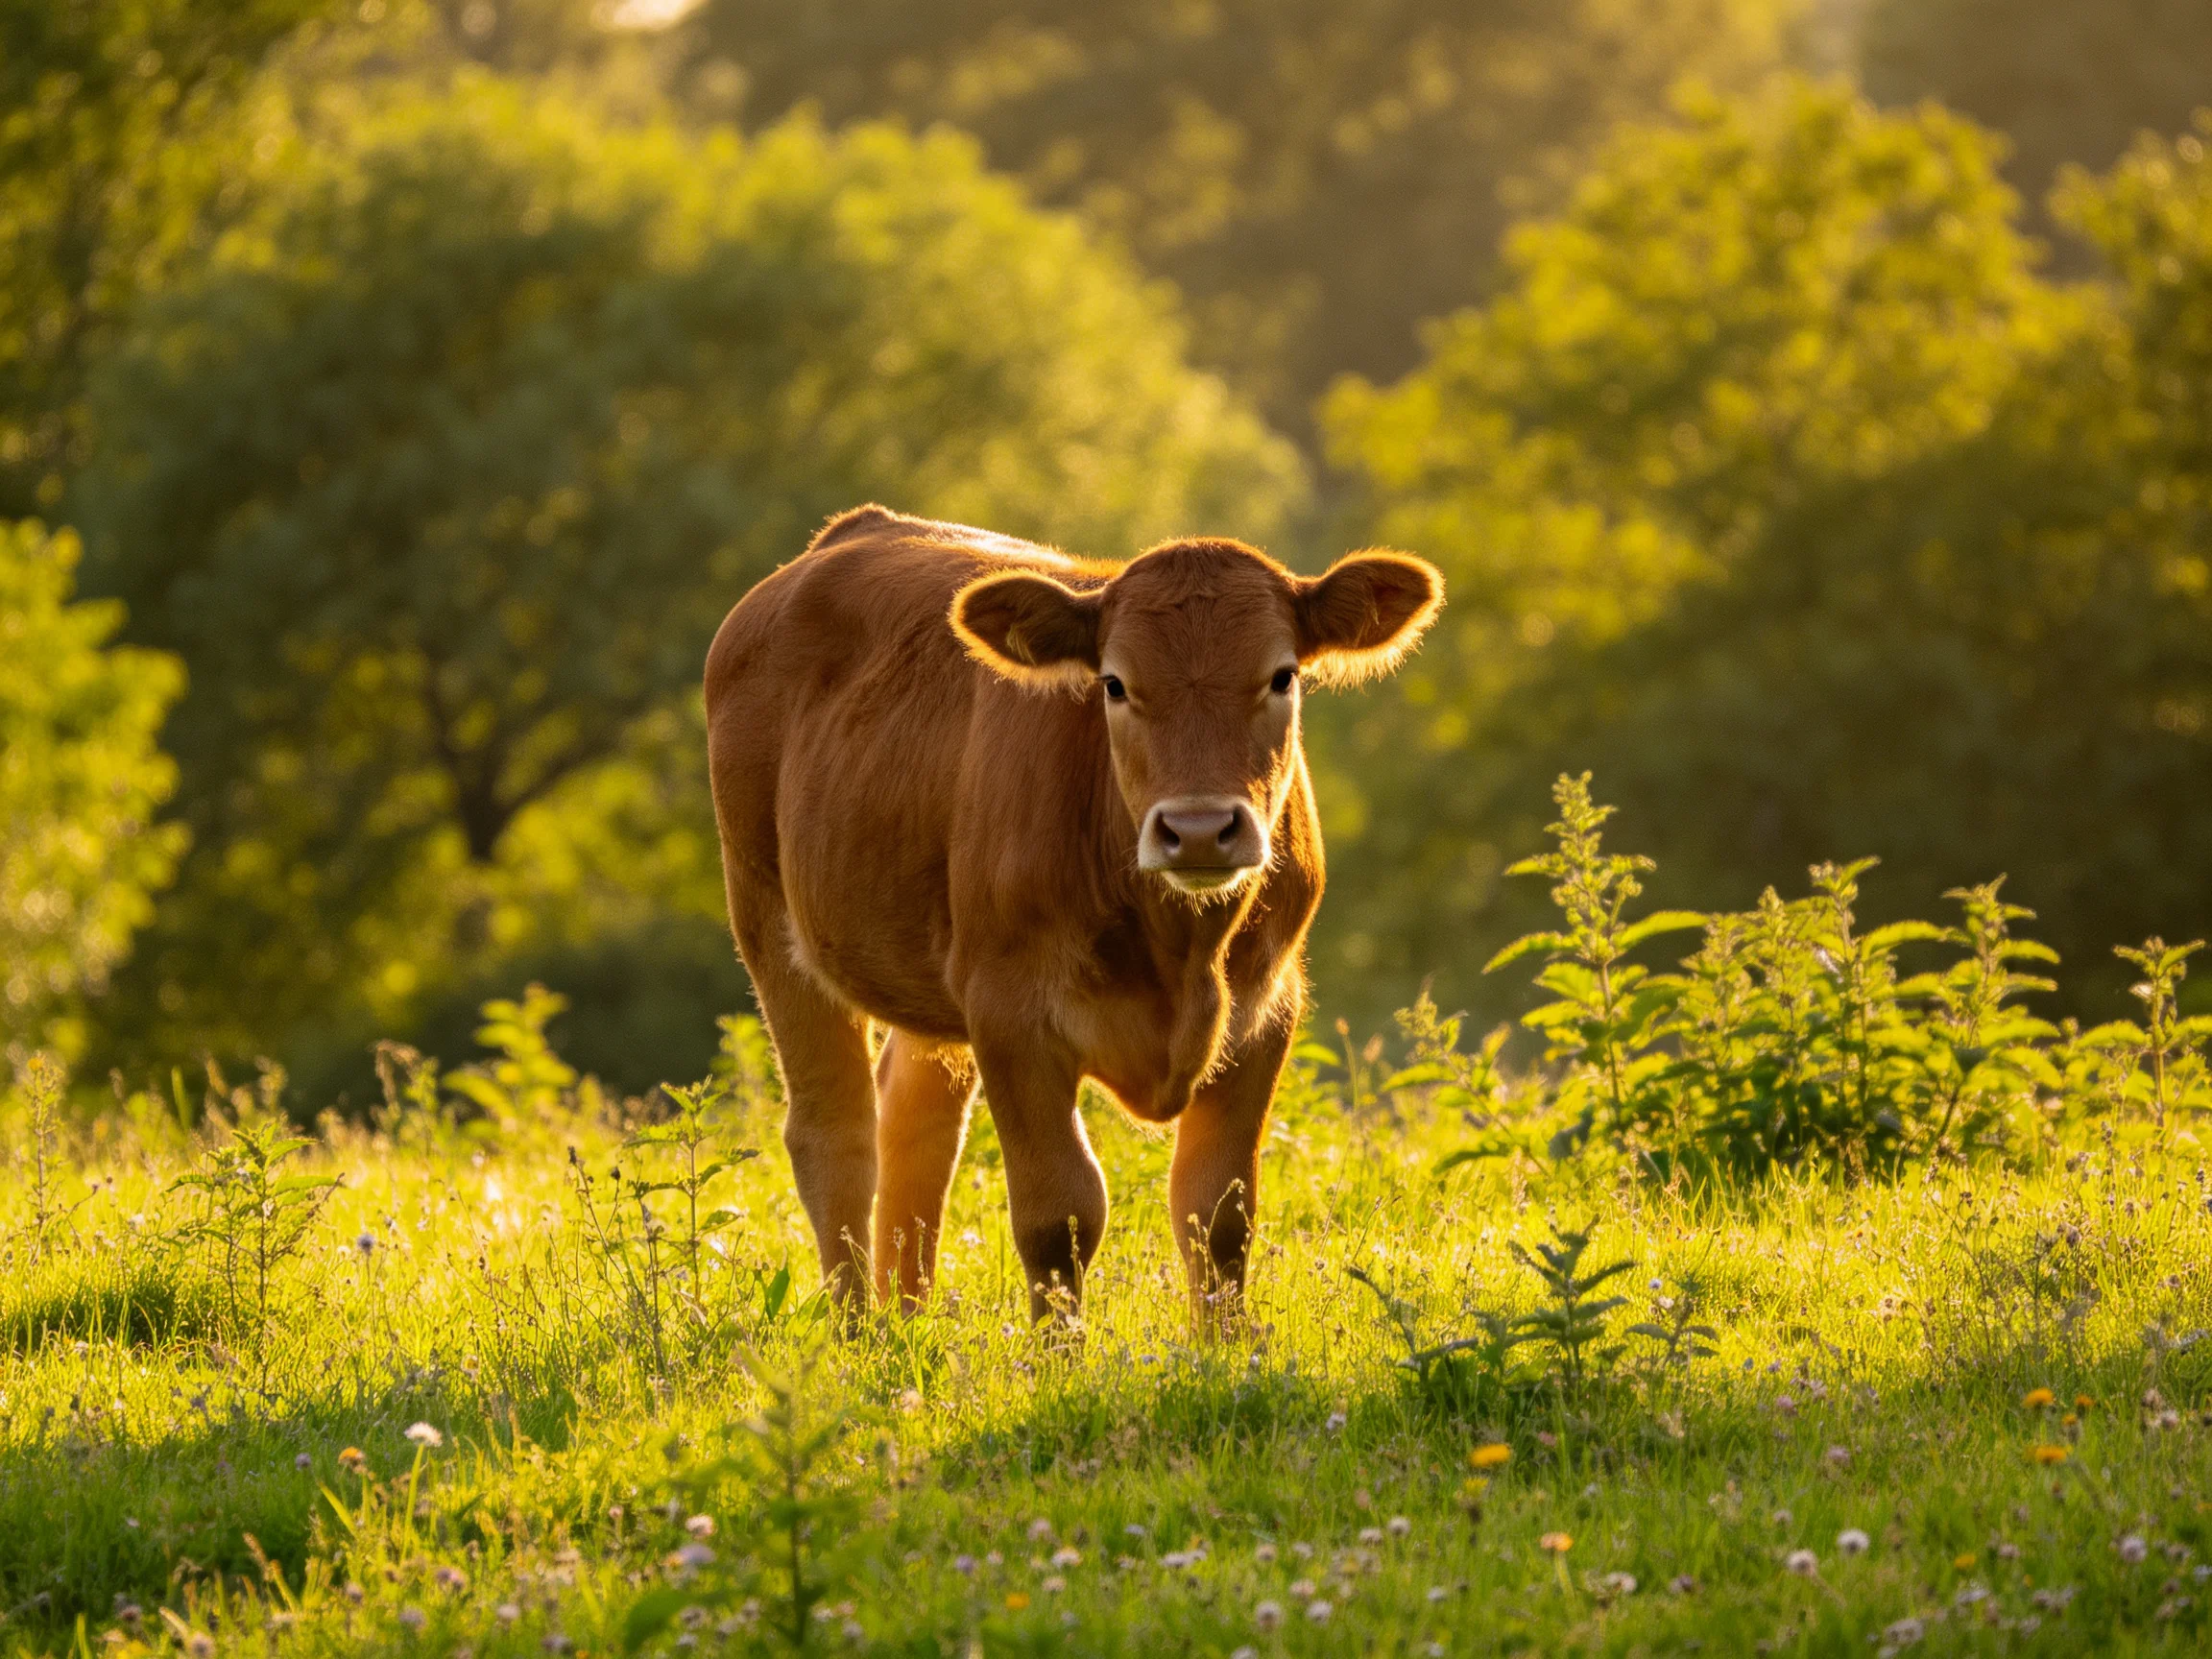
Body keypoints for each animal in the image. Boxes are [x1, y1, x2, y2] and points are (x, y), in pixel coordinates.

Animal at [705, 505, 1441, 1321]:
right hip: (769, 921)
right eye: (1115, 684)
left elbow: (1219, 1213)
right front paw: (1058, 1352)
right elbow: (1059, 1216)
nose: (1198, 828)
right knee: (834, 1132)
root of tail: (850, 531)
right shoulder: (1010, 1013)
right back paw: (858, 1329)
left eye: (1282, 676)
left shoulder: (1266, 1009)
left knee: (915, 1125)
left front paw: (1227, 1346)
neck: (1181, 948)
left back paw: (907, 1319)